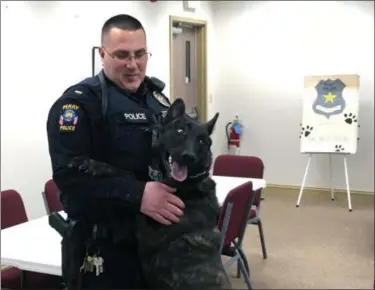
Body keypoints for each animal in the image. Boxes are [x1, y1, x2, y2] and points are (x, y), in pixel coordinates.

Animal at [68, 98, 232, 288]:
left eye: (202, 142)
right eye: (180, 131)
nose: (188, 156)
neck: (185, 185)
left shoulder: (133, 228)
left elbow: (129, 175)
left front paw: (95, 165)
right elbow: (133, 176)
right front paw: (91, 162)